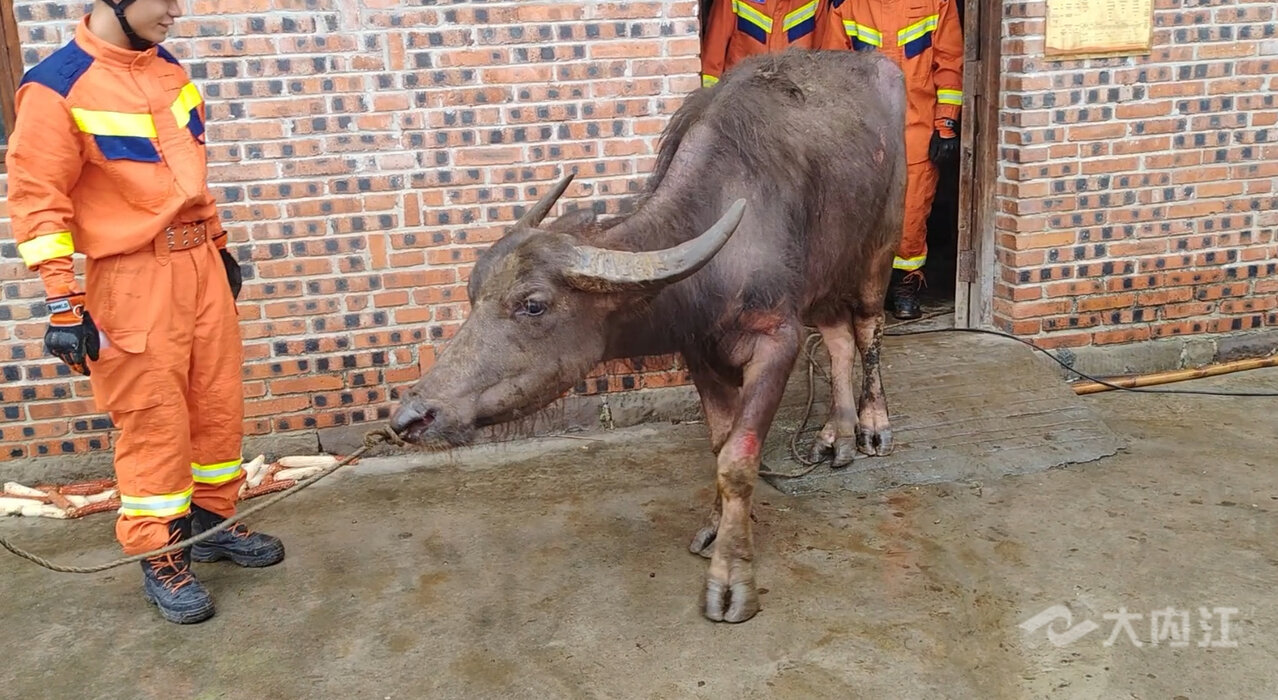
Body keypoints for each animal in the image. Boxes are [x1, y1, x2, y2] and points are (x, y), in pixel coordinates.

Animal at [390, 49, 908, 623]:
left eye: (533, 304)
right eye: (472, 293)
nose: (411, 416)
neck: (718, 261)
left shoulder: (779, 340)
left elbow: (739, 459)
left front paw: (732, 580)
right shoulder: (700, 351)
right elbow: (719, 445)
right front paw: (717, 527)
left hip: (880, 247)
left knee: (867, 329)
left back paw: (872, 429)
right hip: (824, 273)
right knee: (837, 338)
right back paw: (836, 436)